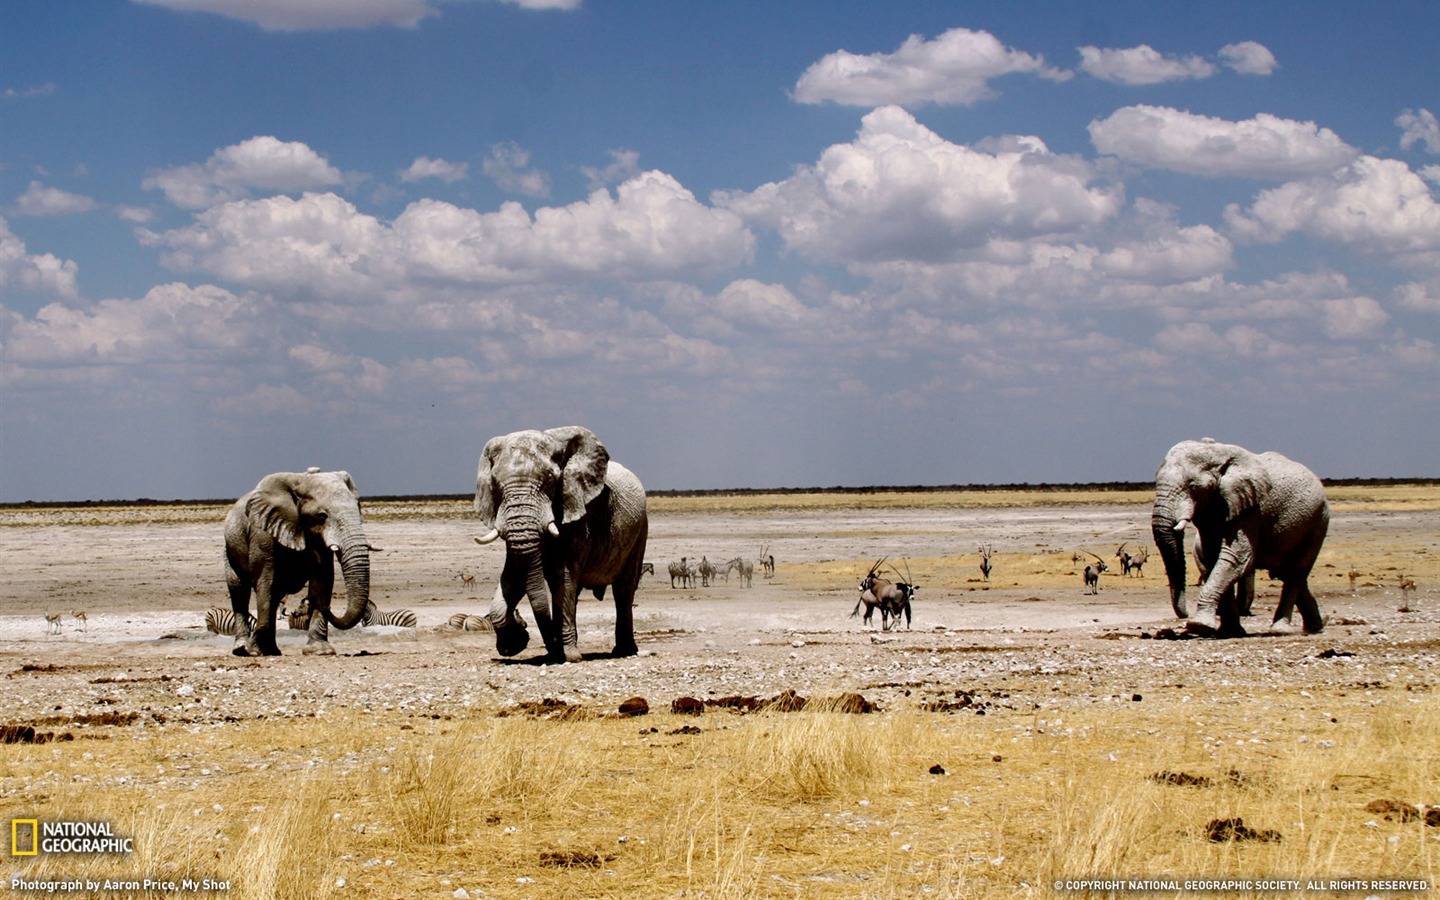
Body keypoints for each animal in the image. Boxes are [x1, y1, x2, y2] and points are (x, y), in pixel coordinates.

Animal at [220, 469, 374, 653]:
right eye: (321, 516)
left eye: (358, 509)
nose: (329, 609)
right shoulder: (262, 532)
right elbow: (266, 578)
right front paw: (254, 651)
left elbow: (322, 579)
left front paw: (320, 650)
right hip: (230, 548)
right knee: (240, 591)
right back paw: (242, 648)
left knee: (275, 596)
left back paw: (272, 650)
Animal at [472, 423, 648, 662]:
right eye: (496, 484)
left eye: (549, 480)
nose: (552, 651)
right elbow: (513, 576)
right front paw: (514, 646)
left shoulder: (577, 511)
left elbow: (561, 576)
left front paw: (570, 657)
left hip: (640, 531)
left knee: (623, 590)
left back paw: (623, 652)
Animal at [1152, 437, 1330, 636]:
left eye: (1192, 487)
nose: (1185, 614)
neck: (1216, 453)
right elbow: (1213, 558)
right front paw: (1230, 632)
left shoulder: (1251, 507)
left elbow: (1236, 557)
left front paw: (1199, 626)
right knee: (1285, 572)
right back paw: (1315, 627)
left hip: (1318, 520)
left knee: (1295, 571)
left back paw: (1281, 630)